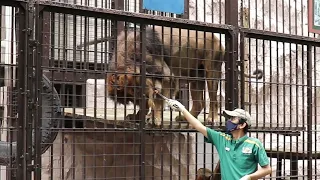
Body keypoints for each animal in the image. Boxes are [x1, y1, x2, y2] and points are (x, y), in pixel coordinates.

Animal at [107, 25, 262, 126]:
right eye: (133, 95)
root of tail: (217, 39)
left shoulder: (166, 75)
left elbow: (157, 100)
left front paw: (155, 118)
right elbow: (147, 103)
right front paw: (138, 116)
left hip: (212, 69)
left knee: (214, 99)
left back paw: (212, 119)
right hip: (196, 76)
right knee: (199, 103)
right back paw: (185, 118)